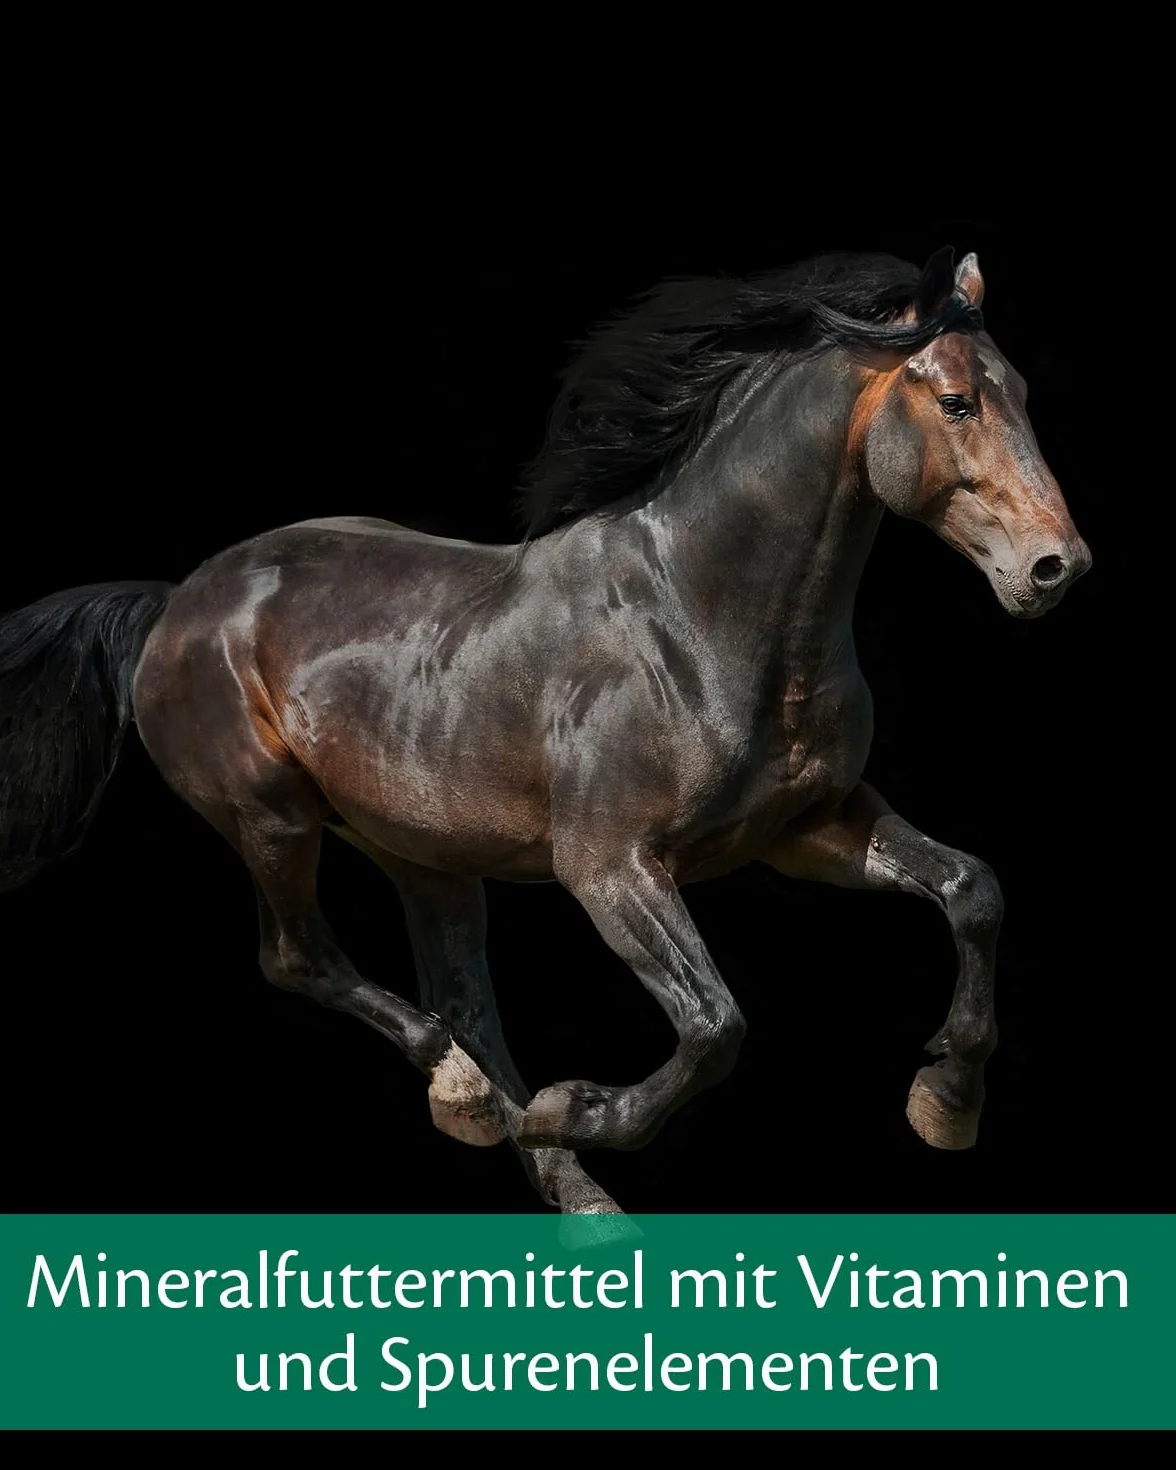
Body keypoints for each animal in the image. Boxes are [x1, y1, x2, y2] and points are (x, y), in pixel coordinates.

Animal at [0, 246, 1090, 1222]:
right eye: (958, 403)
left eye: (1023, 390)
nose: (1056, 567)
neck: (697, 614)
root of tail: (177, 601)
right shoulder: (608, 865)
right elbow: (715, 1024)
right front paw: (581, 1106)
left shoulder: (810, 827)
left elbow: (972, 890)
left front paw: (945, 1103)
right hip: (271, 820)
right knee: (303, 961)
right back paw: (476, 1102)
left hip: (427, 858)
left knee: (464, 1001)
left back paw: (566, 1184)